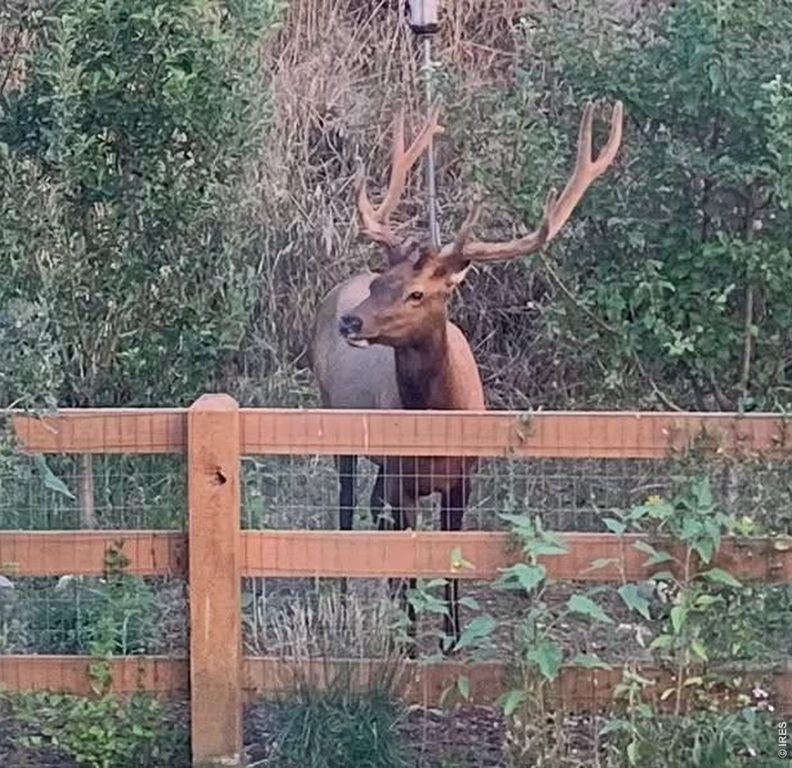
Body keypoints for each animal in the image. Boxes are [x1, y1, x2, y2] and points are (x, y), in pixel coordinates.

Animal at [309, 100, 623, 651]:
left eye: (417, 292)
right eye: (381, 281)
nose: (352, 322)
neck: (438, 423)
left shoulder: (463, 478)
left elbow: (450, 557)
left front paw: (451, 639)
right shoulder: (403, 479)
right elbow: (410, 558)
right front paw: (410, 644)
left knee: (369, 507)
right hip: (339, 422)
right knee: (347, 510)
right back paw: (346, 603)